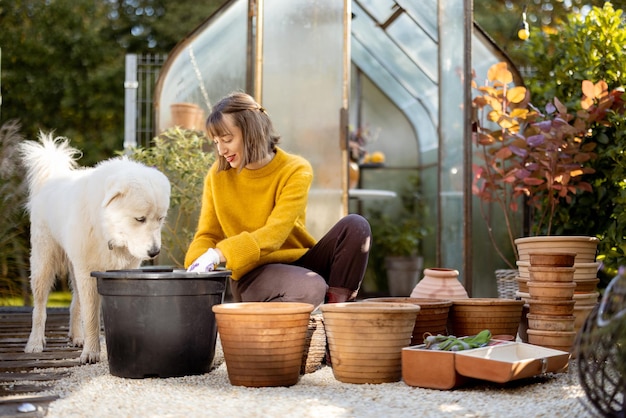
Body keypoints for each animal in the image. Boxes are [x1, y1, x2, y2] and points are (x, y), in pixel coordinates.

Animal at [19, 134, 171, 362]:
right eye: (140, 219)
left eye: (160, 219)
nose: (154, 252)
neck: (106, 229)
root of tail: (52, 178)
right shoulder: (87, 272)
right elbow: (90, 316)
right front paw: (91, 353)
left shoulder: (119, 271)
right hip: (43, 264)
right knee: (39, 308)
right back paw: (35, 343)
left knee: (75, 304)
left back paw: (76, 337)